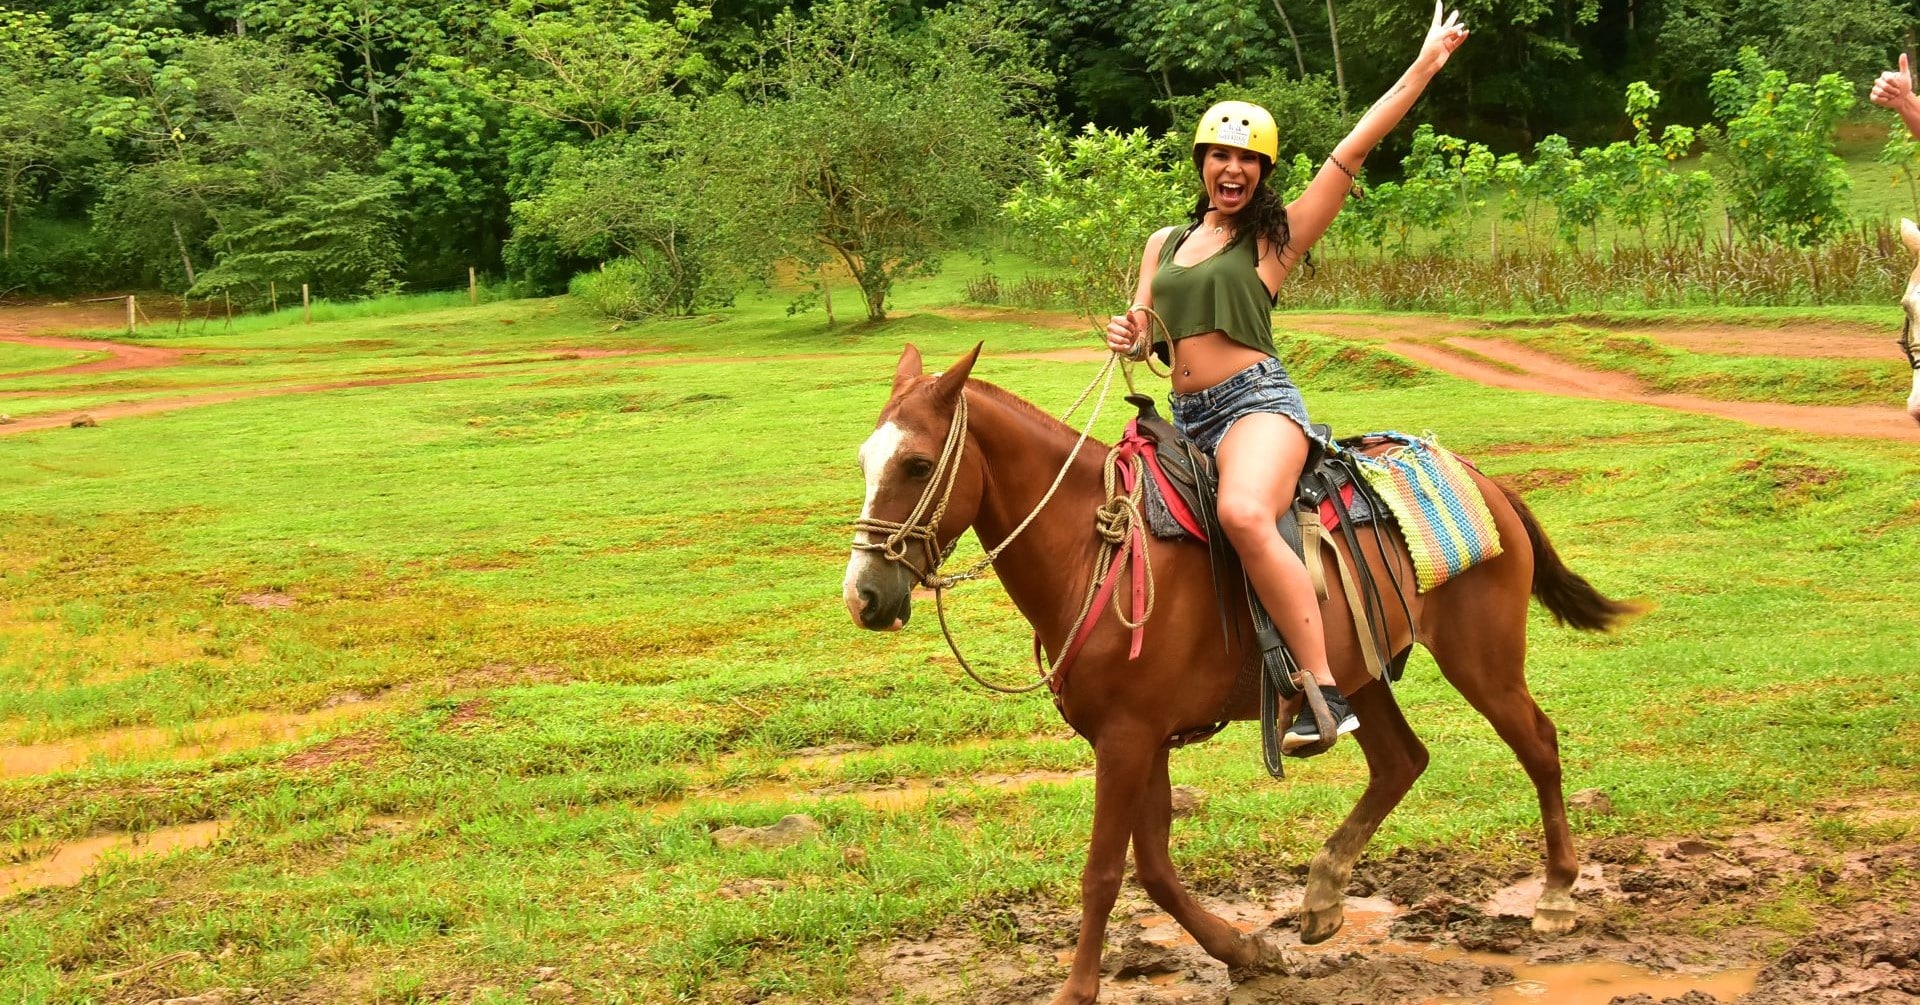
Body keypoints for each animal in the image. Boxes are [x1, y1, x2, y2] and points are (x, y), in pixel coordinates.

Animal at [840, 345, 1635, 1005]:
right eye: (863, 461)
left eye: (917, 465)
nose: (865, 595)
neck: (1095, 546)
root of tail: (1486, 481)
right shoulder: (1141, 737)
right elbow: (1155, 867)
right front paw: (1248, 952)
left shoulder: (1127, 738)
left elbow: (1105, 872)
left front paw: (1077, 991)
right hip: (1358, 674)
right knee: (1401, 761)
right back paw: (1321, 895)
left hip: (1484, 660)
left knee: (1538, 743)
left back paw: (1557, 895)